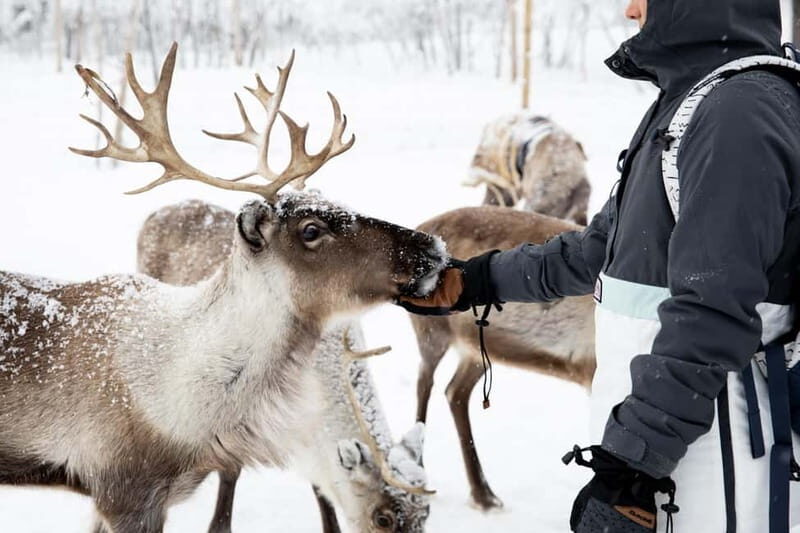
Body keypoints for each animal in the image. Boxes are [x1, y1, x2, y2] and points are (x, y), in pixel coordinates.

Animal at [410, 114, 597, 510]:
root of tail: (421, 228)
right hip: (431, 333)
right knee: (425, 384)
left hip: (478, 347)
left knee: (456, 392)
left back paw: (484, 494)